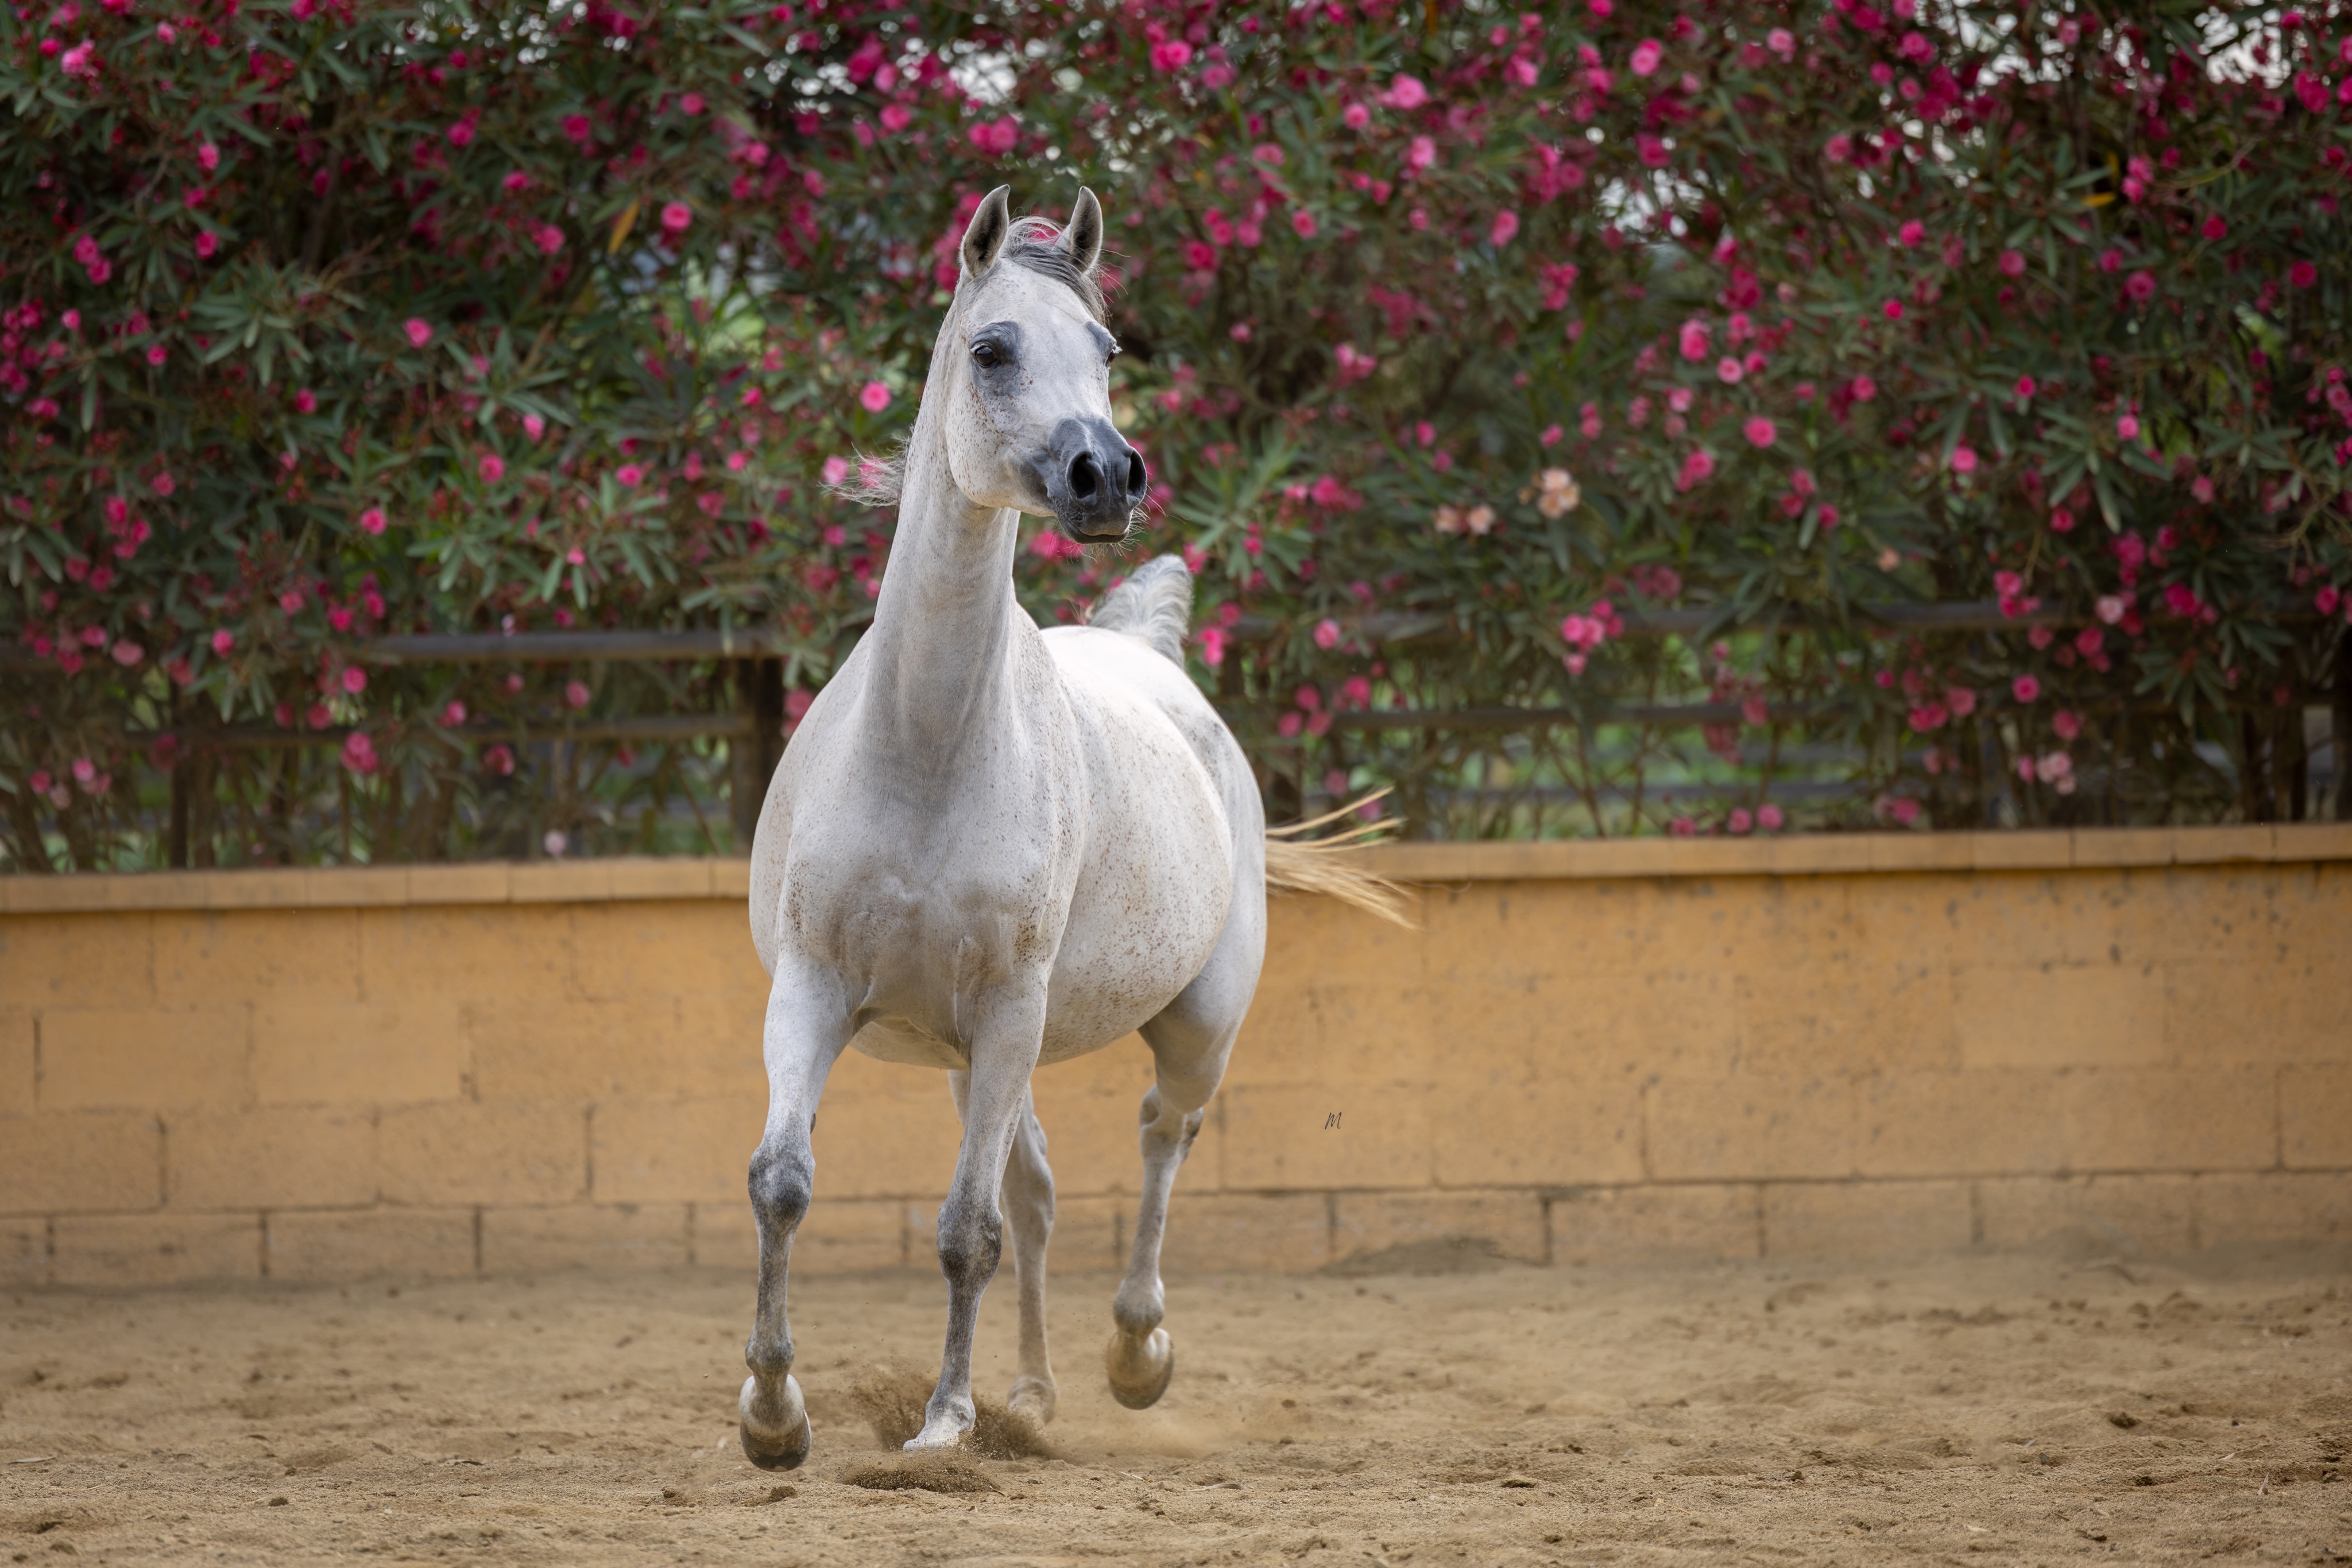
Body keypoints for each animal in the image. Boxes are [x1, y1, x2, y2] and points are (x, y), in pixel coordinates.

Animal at [735, 185, 1399, 1466]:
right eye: (993, 349)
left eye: (1105, 349)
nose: (1107, 476)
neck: (927, 752)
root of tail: (1147, 652)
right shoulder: (814, 988)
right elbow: (785, 1181)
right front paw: (772, 1415)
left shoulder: (1008, 1011)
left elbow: (964, 1230)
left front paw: (944, 1423)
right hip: (976, 1057)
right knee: (1035, 1191)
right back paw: (1034, 1395)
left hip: (1186, 1024)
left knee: (1158, 1137)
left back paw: (1134, 1355)